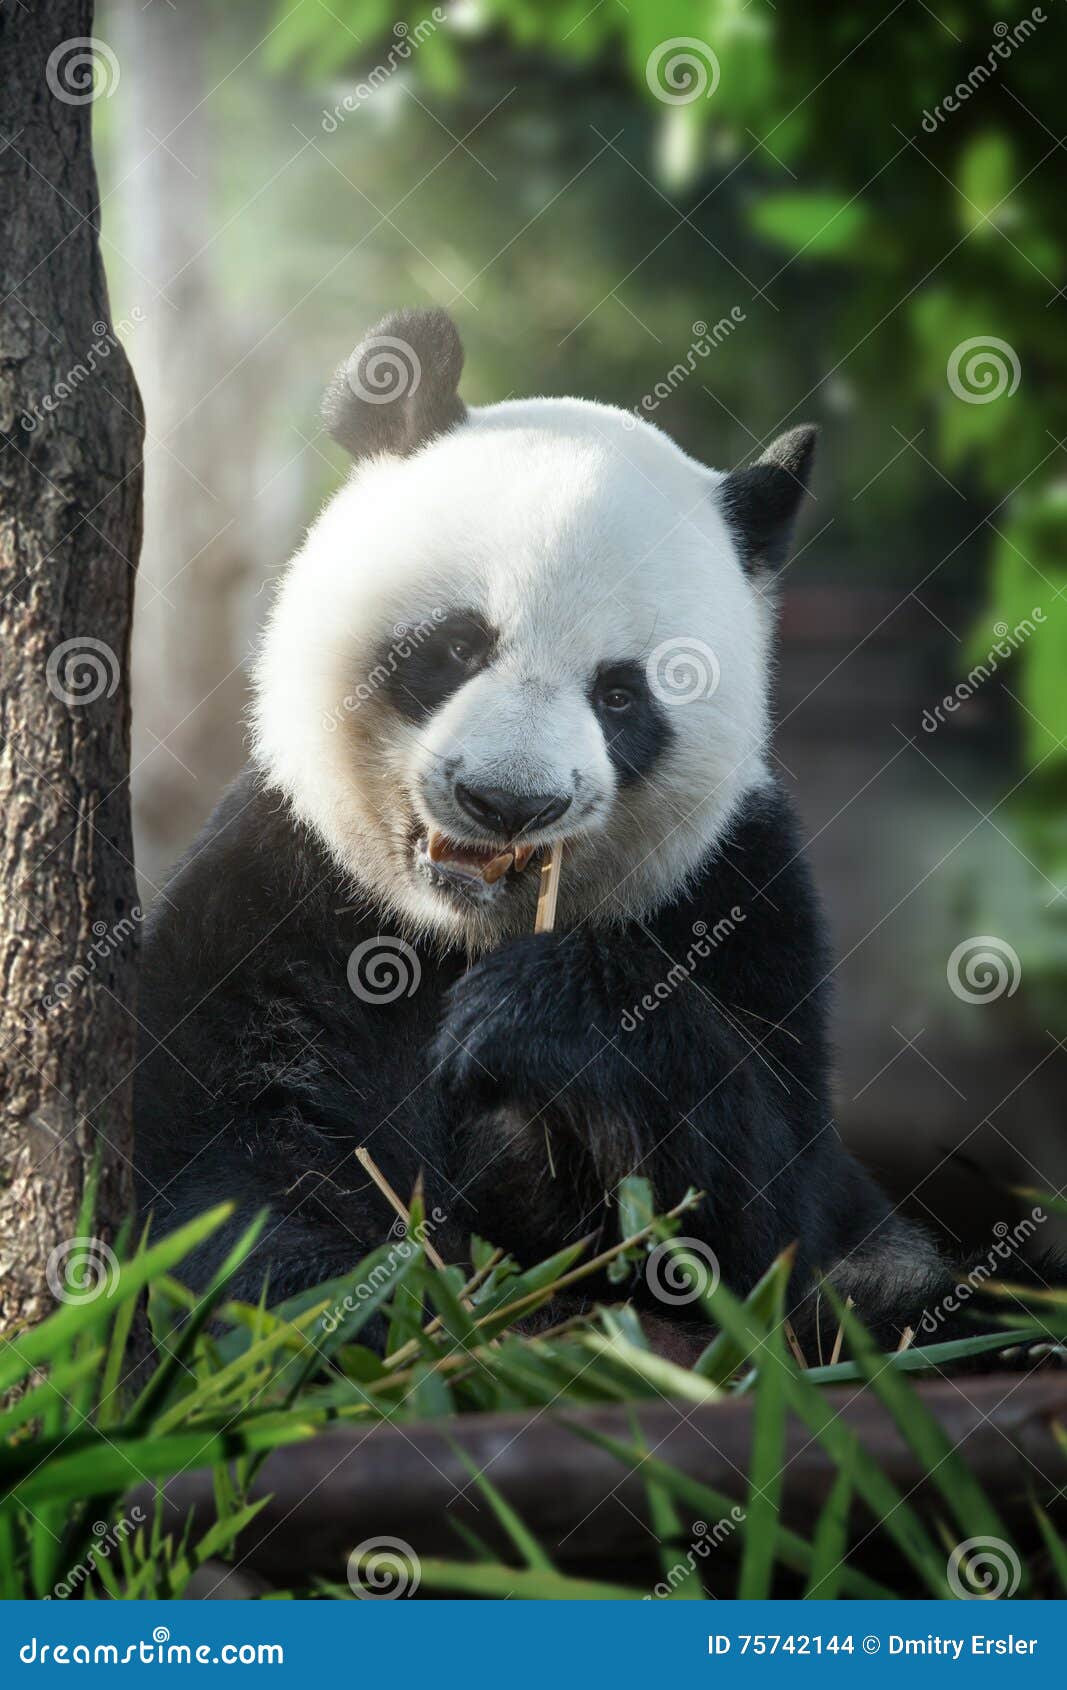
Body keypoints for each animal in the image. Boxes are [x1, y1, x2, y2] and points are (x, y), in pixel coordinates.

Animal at [132, 306, 988, 1351]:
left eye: (620, 696)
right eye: (457, 646)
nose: (507, 800)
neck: (453, 932)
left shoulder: (741, 890)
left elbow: (760, 1218)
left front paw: (536, 1021)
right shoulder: (279, 882)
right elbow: (217, 1163)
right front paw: (376, 1317)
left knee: (893, 1286)